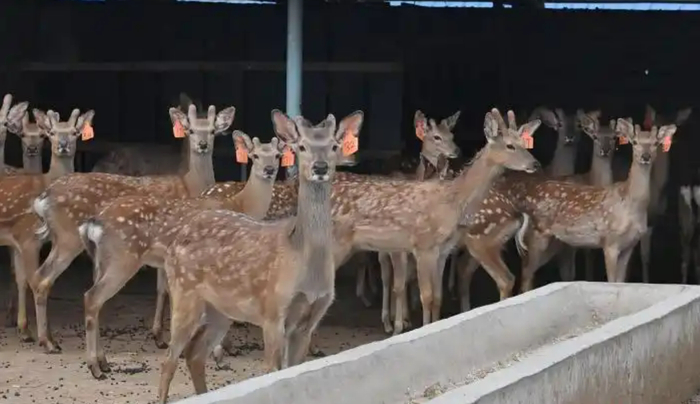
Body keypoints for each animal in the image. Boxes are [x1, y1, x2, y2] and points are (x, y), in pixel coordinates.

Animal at [0, 108, 94, 341]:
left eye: (75, 132)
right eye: (51, 132)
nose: (63, 145)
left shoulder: (20, 241)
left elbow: (22, 279)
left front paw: (24, 329)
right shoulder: (28, 236)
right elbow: (34, 280)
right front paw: (40, 335)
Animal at [30, 103, 235, 353]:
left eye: (213, 131)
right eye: (191, 130)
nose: (203, 145)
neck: (190, 186)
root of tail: (43, 198)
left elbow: (161, 289)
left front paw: (158, 335)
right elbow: (169, 290)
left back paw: (49, 338)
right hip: (69, 238)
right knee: (43, 279)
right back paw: (48, 342)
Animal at [79, 132, 285, 379]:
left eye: (277, 155)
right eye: (254, 155)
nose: (269, 169)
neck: (241, 205)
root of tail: (93, 223)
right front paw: (218, 355)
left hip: (102, 261)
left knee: (96, 300)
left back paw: (103, 362)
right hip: (122, 258)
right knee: (92, 298)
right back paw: (95, 367)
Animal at [155, 109, 362, 403]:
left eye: (334, 145)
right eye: (301, 146)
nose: (320, 167)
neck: (303, 263)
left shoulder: (310, 319)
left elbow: (295, 371)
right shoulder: (273, 310)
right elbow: (272, 372)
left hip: (221, 309)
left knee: (195, 353)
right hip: (185, 294)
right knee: (169, 359)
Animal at [516, 118, 677, 289]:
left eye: (655, 143)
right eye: (634, 142)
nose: (645, 156)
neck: (631, 206)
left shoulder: (629, 245)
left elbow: (621, 281)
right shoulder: (610, 241)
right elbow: (611, 281)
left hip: (555, 243)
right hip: (536, 236)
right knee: (526, 273)